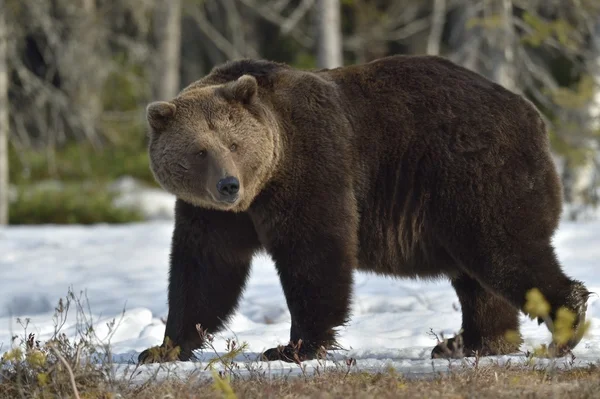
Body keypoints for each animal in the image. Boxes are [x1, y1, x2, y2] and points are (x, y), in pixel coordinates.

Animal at [139, 54, 592, 364]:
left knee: (504, 252)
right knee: (477, 278)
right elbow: (205, 270)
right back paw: (469, 343)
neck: (264, 184)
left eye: (234, 144)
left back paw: (561, 331)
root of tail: (532, 113)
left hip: (476, 175)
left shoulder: (313, 164)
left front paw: (291, 347)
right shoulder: (211, 214)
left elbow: (314, 254)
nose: (228, 185)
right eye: (200, 151)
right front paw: (162, 348)